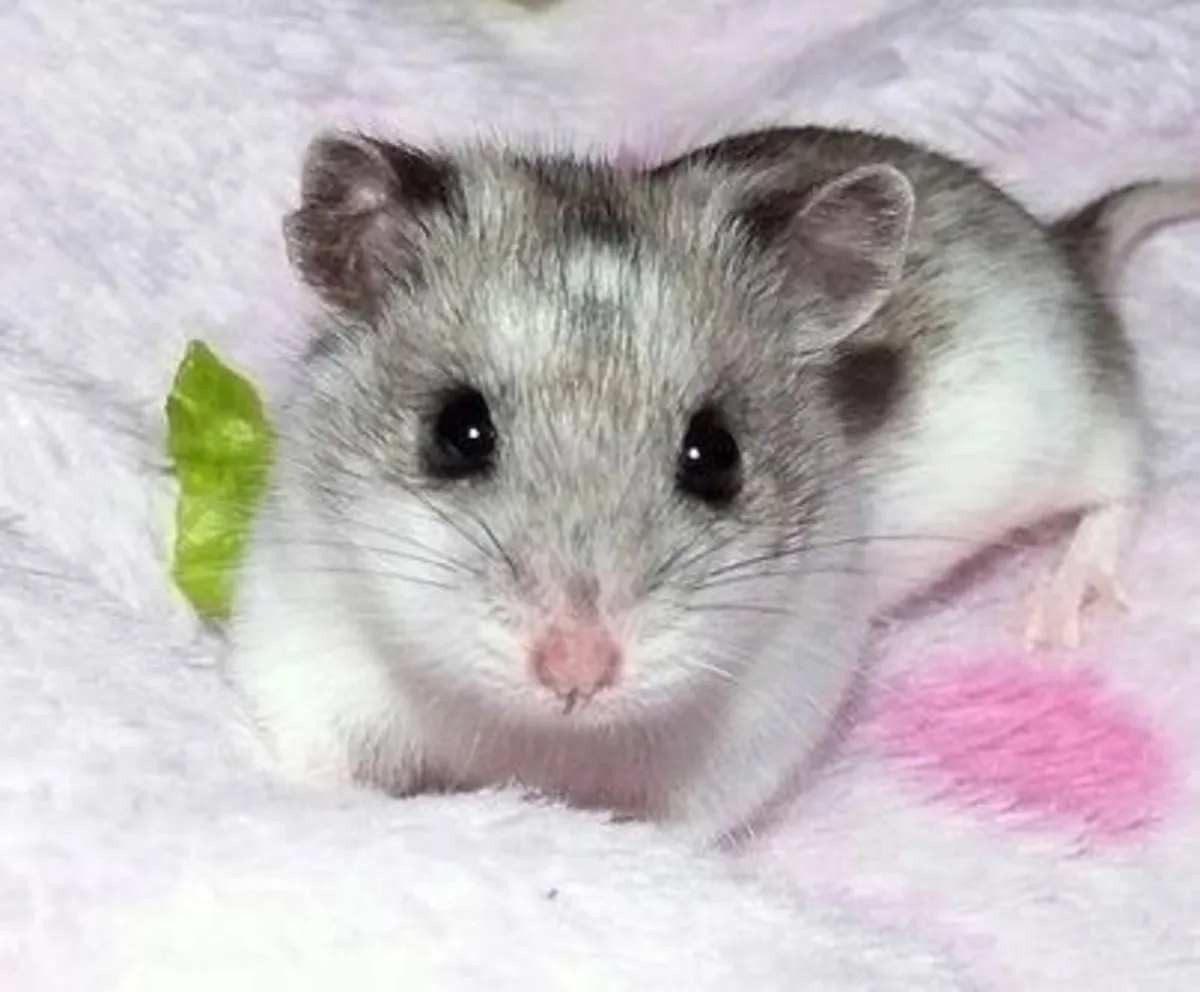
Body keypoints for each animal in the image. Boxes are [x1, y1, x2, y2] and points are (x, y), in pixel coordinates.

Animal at [225, 126, 1200, 843]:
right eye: (455, 431)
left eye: (716, 455)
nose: (576, 672)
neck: (536, 732)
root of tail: (1063, 245)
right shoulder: (299, 644)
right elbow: (318, 761)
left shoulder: (745, 745)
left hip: (1077, 420)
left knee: (1123, 482)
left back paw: (1055, 612)